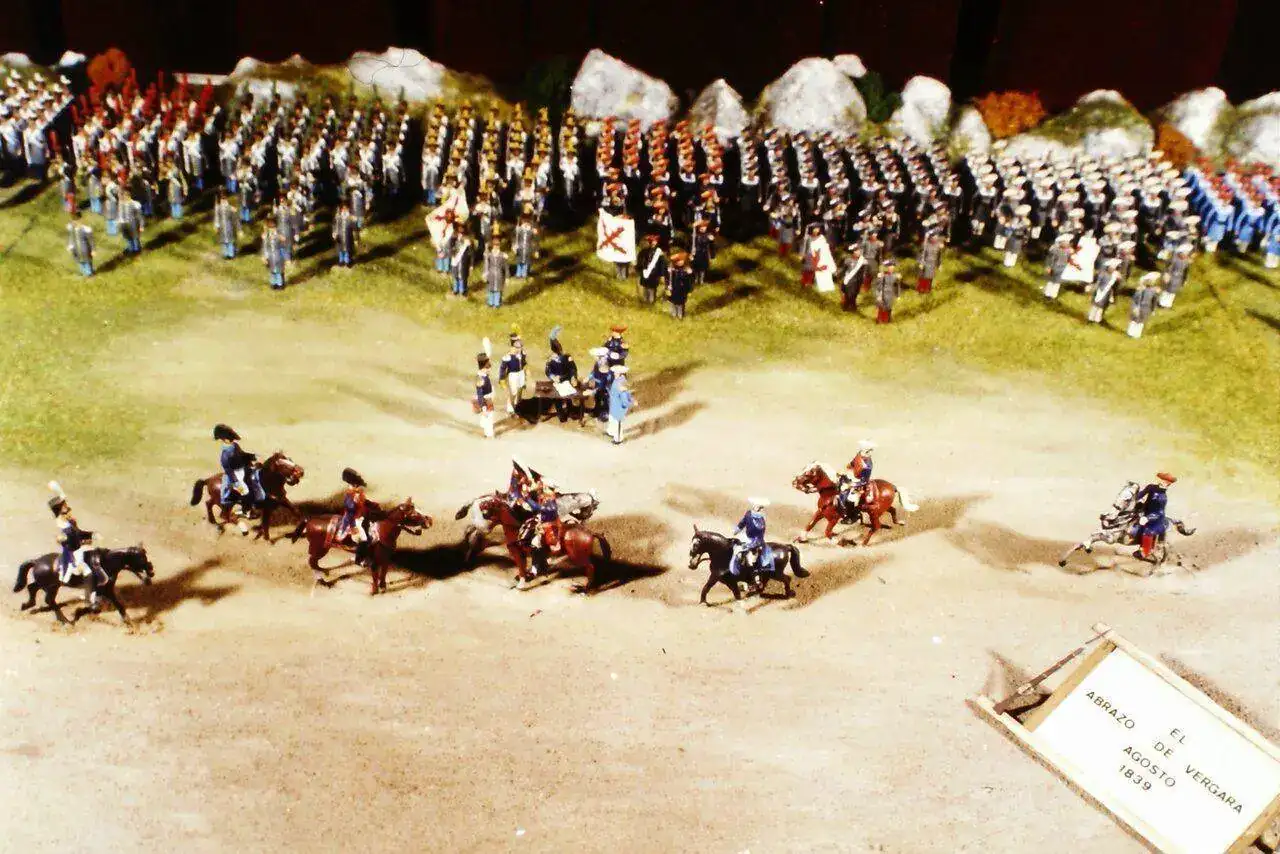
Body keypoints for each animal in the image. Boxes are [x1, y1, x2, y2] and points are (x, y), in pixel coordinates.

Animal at [13, 545, 155, 625]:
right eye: (140, 559)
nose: (151, 573)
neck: (105, 563)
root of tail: (37, 561)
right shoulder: (95, 591)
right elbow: (95, 607)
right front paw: (78, 612)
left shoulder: (108, 591)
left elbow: (119, 606)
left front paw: (129, 622)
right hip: (52, 587)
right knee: (49, 600)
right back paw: (65, 621)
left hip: (47, 584)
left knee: (32, 587)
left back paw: (28, 605)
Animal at [287, 499, 432, 594]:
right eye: (413, 514)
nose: (429, 520)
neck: (382, 530)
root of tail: (310, 519)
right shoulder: (374, 561)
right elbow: (375, 576)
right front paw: (374, 591)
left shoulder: (385, 559)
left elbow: (383, 574)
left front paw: (383, 587)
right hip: (320, 549)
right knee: (312, 562)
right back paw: (324, 579)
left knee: (314, 563)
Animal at [456, 489, 599, 566]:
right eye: (591, 509)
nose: (584, 522)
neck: (559, 505)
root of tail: (477, 499)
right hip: (485, 526)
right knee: (473, 535)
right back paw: (467, 556)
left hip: (483, 524)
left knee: (469, 531)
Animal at [477, 495, 612, 592]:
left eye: (488, 508)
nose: (483, 529)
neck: (517, 528)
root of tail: (590, 533)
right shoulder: (535, 553)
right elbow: (534, 565)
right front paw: (531, 575)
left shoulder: (518, 554)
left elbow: (522, 568)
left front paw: (521, 584)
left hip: (577, 556)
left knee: (590, 567)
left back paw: (584, 588)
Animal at [1058, 482, 1196, 571]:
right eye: (1119, 493)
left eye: (1128, 499)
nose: (1104, 515)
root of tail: (1170, 520)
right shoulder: (1101, 532)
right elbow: (1082, 542)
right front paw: (1062, 561)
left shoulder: (1110, 539)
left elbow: (1094, 538)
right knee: (1161, 550)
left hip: (1162, 540)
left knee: (1165, 550)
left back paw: (1160, 566)